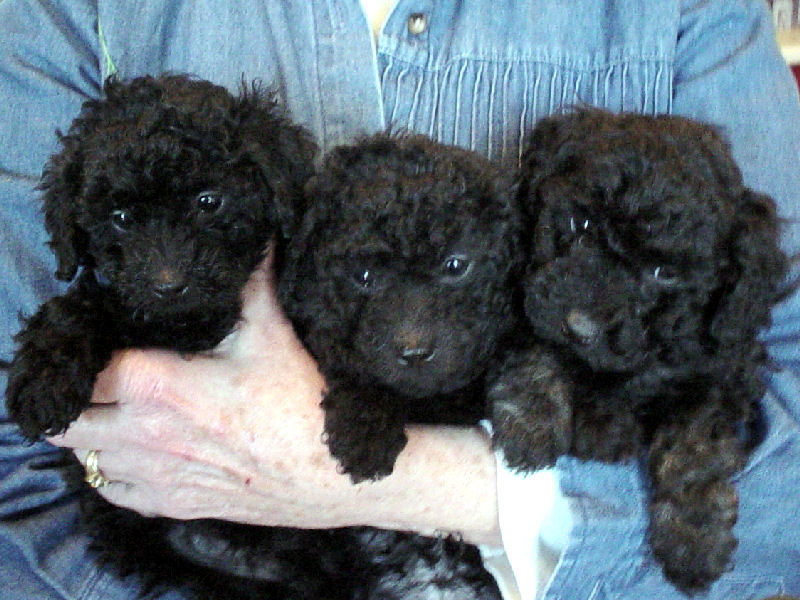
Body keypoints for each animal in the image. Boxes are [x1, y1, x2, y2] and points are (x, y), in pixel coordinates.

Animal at [488, 108, 788, 592]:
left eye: (664, 272)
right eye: (580, 225)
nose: (580, 326)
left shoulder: (722, 367)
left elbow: (695, 448)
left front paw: (695, 540)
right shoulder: (530, 294)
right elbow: (538, 346)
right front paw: (530, 422)